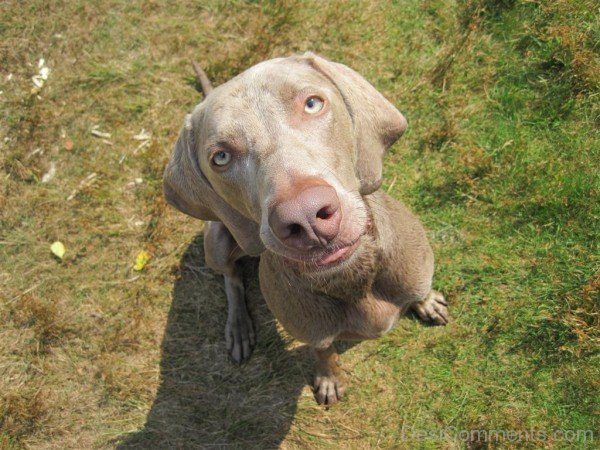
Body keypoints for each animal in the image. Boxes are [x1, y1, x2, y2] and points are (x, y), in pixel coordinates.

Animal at [162, 51, 448, 404]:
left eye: (312, 104)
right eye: (221, 157)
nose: (306, 217)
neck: (351, 277)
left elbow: (419, 290)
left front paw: (426, 301)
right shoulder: (313, 333)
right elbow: (323, 352)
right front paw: (328, 379)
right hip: (216, 241)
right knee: (231, 278)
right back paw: (239, 325)